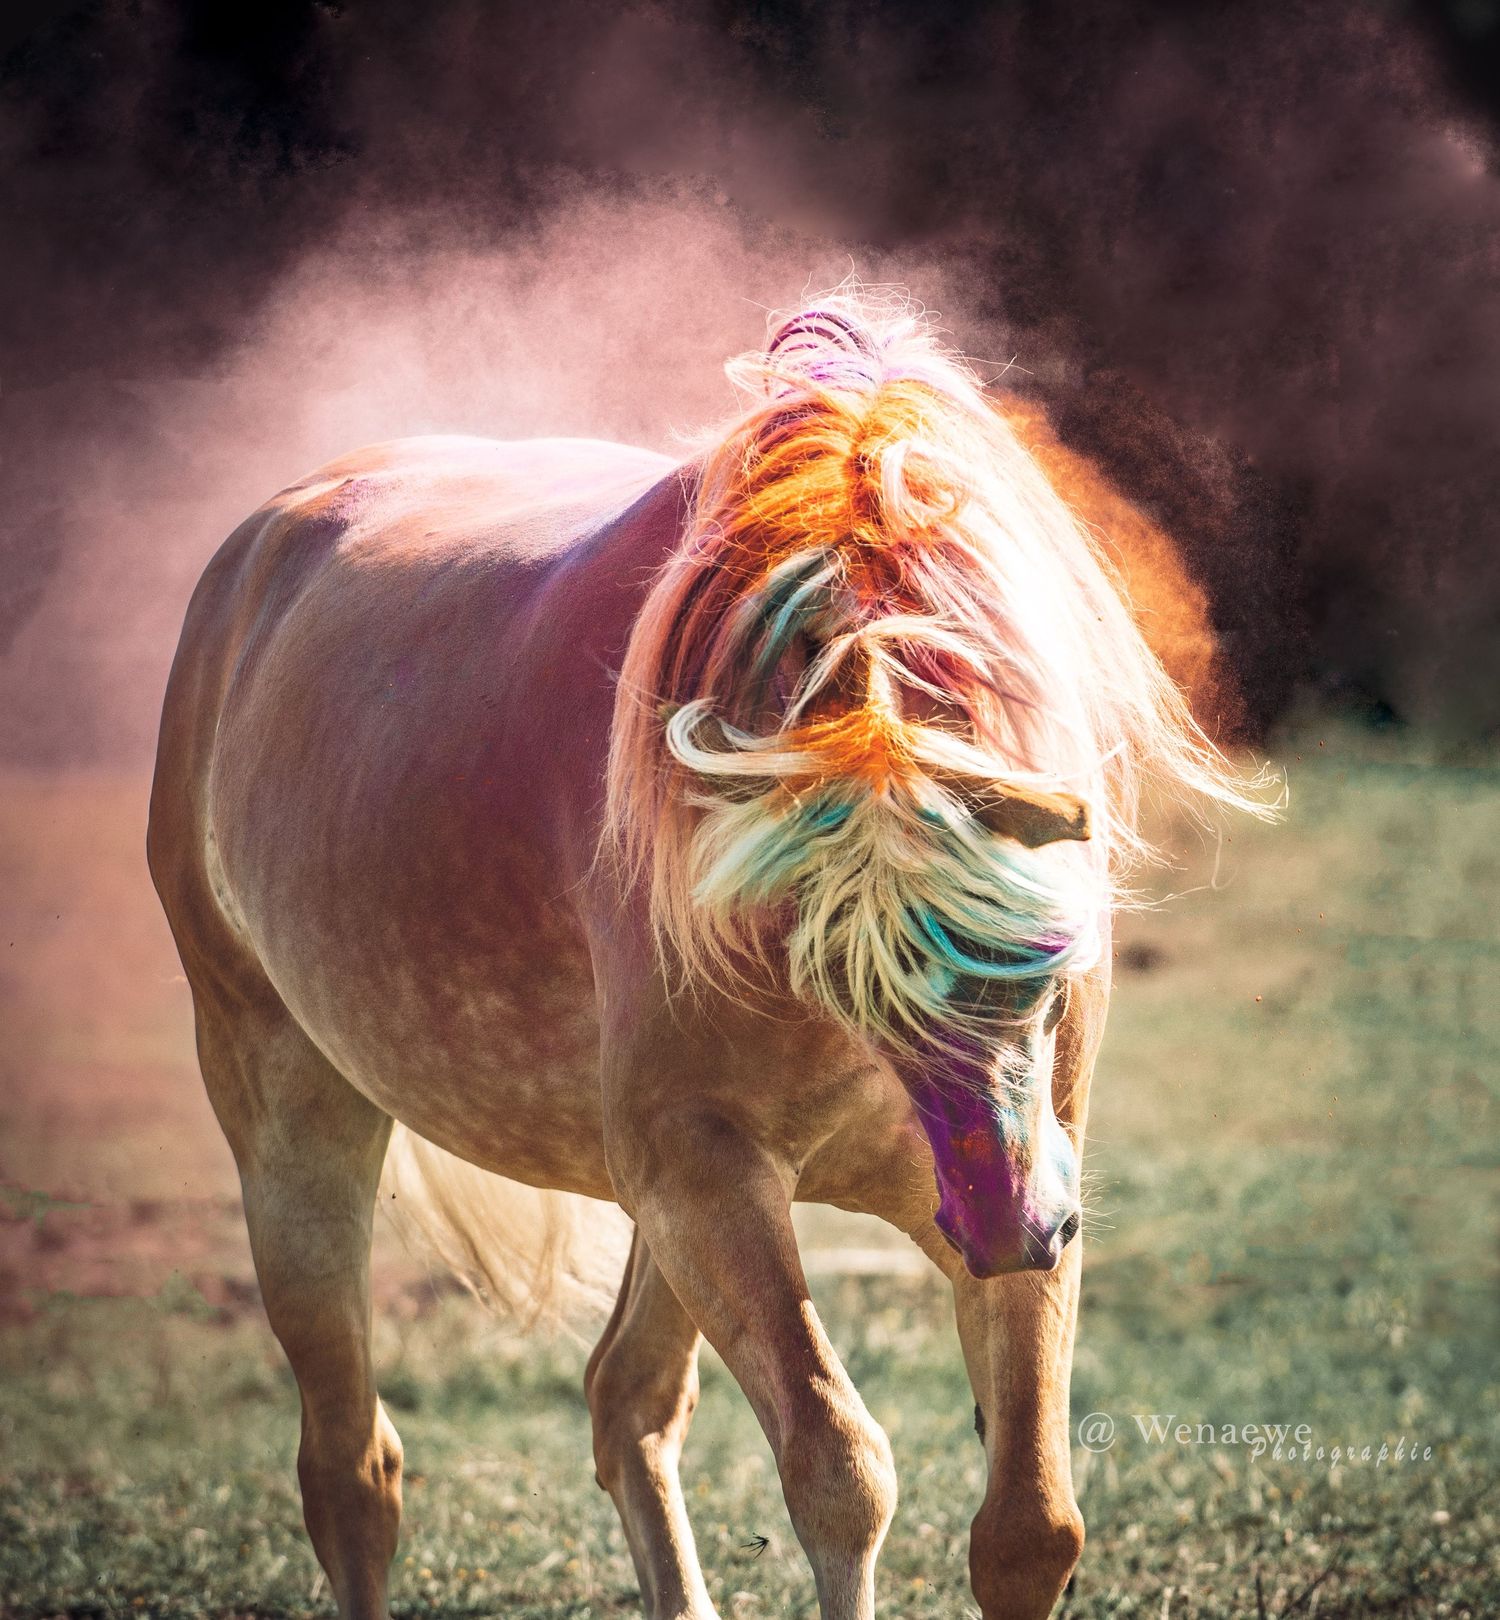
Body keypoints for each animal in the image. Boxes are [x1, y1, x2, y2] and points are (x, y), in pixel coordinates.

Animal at [148, 296, 1267, 1620]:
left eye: (1045, 962)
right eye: (847, 986)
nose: (1004, 1231)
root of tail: (262, 544)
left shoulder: (1032, 1174)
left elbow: (1029, 1524)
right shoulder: (707, 1175)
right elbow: (842, 1475)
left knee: (621, 1403)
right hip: (294, 1111)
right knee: (351, 1469)